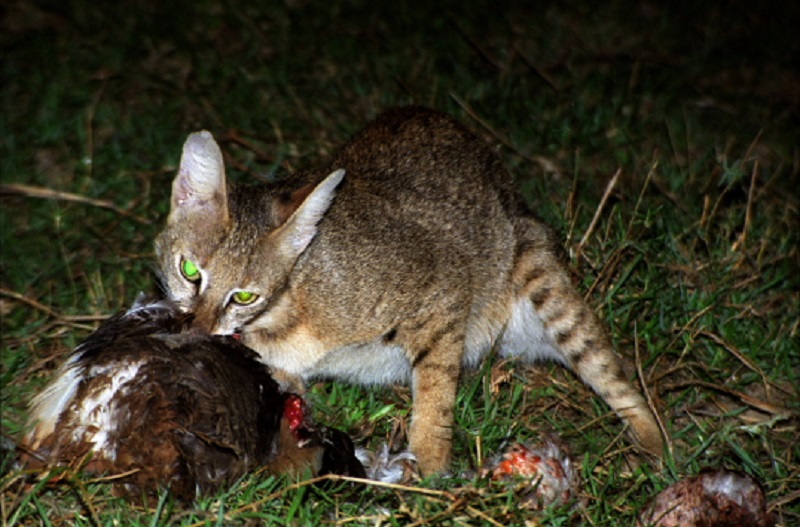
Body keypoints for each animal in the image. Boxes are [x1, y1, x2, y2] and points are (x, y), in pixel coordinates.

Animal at [155, 106, 664, 474]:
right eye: (189, 270)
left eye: (244, 295)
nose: (196, 331)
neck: (287, 309)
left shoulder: (443, 293)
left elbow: (435, 397)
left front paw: (430, 474)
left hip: (544, 284)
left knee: (610, 371)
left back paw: (658, 449)